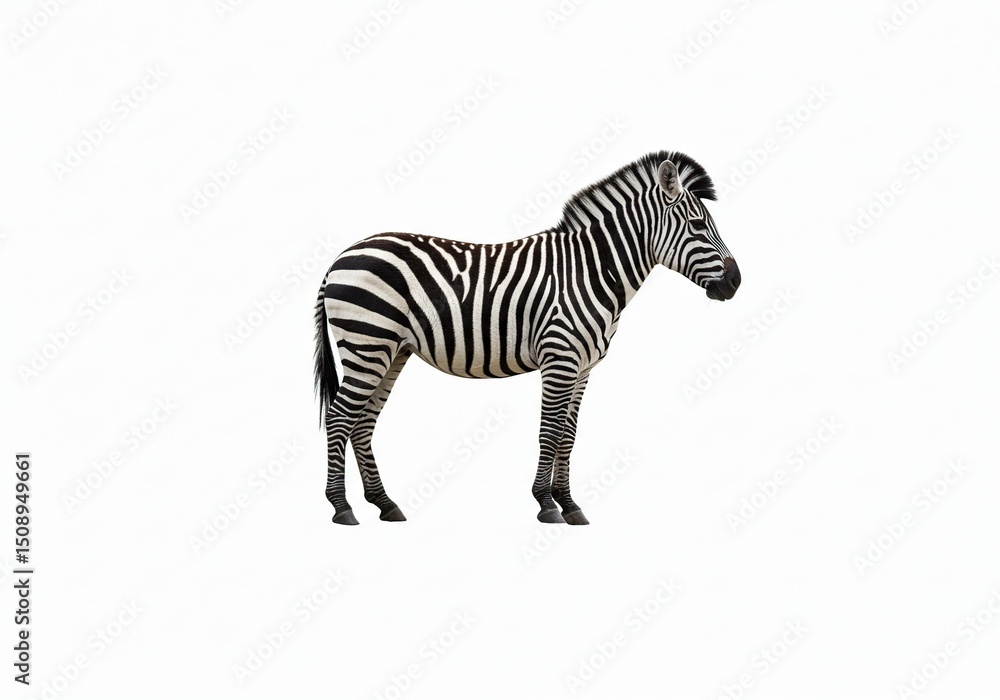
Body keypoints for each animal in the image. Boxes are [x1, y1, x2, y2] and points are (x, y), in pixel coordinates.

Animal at [314, 151, 740, 525]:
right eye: (698, 225)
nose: (736, 282)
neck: (590, 271)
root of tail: (341, 256)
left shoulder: (583, 368)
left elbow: (568, 436)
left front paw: (570, 504)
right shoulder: (560, 359)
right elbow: (549, 433)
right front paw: (546, 504)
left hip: (391, 351)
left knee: (362, 423)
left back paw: (384, 504)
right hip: (368, 344)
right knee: (339, 418)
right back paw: (341, 507)